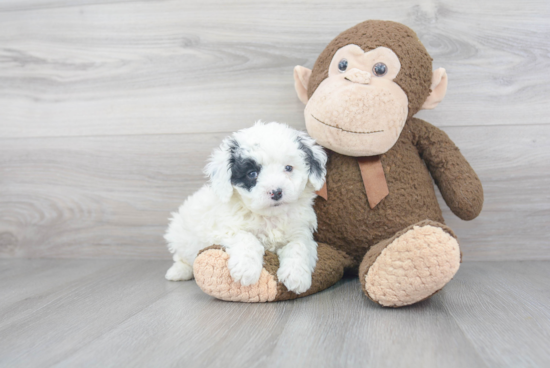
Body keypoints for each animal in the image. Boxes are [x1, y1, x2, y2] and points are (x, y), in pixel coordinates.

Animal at [165, 122, 328, 294]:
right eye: (251, 173)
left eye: (288, 168)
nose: (276, 192)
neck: (270, 217)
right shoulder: (224, 229)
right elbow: (246, 237)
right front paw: (246, 269)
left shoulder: (300, 231)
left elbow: (299, 245)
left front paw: (296, 276)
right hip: (179, 234)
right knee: (181, 257)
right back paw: (178, 272)